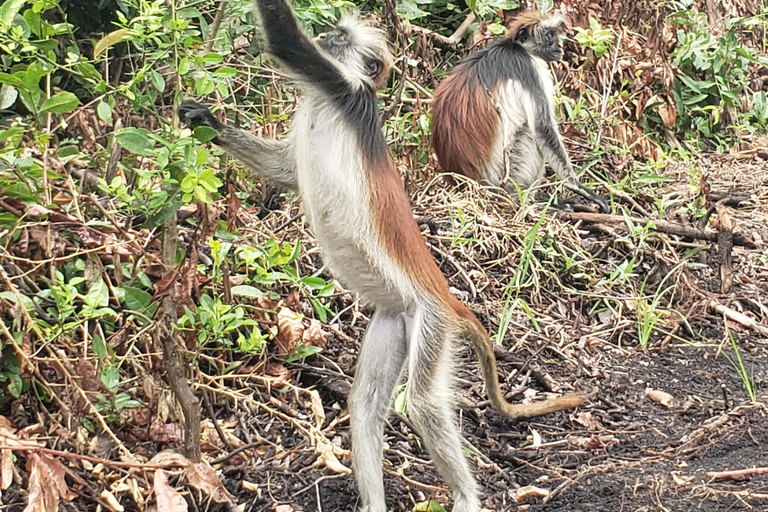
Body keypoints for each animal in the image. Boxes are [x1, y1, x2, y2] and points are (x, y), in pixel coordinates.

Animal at [176, 2, 584, 510]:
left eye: (338, 37)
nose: (326, 37)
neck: (328, 101)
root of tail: (445, 297)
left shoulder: (340, 87)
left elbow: (284, 38)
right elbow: (286, 173)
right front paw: (205, 119)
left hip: (431, 324)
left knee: (423, 404)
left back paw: (465, 496)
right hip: (396, 320)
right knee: (366, 403)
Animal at [428, 11, 608, 212]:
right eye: (549, 36)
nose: (560, 46)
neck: (517, 48)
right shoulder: (530, 70)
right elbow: (542, 129)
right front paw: (578, 187)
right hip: (506, 178)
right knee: (531, 134)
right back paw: (528, 204)